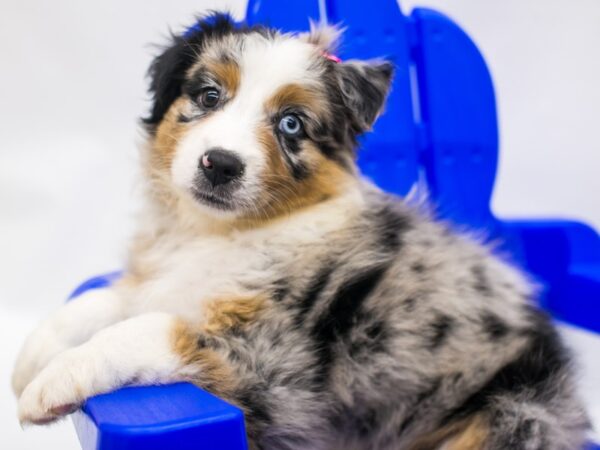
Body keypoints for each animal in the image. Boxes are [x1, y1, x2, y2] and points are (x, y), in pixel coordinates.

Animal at [11, 12, 588, 448]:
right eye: (208, 95)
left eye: (291, 123)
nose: (220, 164)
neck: (219, 232)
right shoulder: (170, 280)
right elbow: (107, 300)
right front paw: (34, 353)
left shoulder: (277, 366)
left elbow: (149, 328)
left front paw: (54, 380)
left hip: (511, 414)